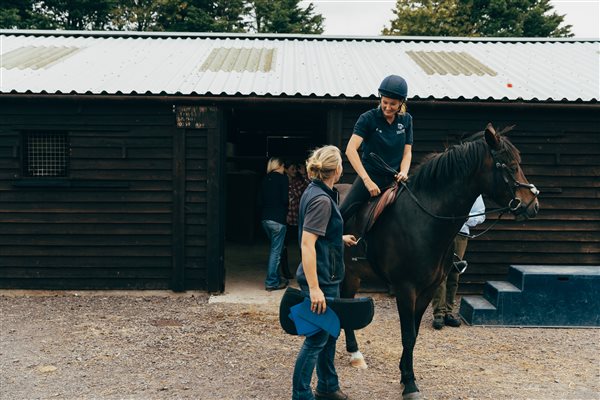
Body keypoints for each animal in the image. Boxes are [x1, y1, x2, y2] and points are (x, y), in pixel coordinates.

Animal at [338, 123, 540, 398]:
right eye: (509, 165)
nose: (533, 204)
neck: (424, 219)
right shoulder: (405, 289)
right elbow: (407, 335)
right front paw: (409, 383)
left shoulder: (427, 288)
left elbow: (413, 335)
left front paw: (405, 374)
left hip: (353, 273)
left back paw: (354, 353)